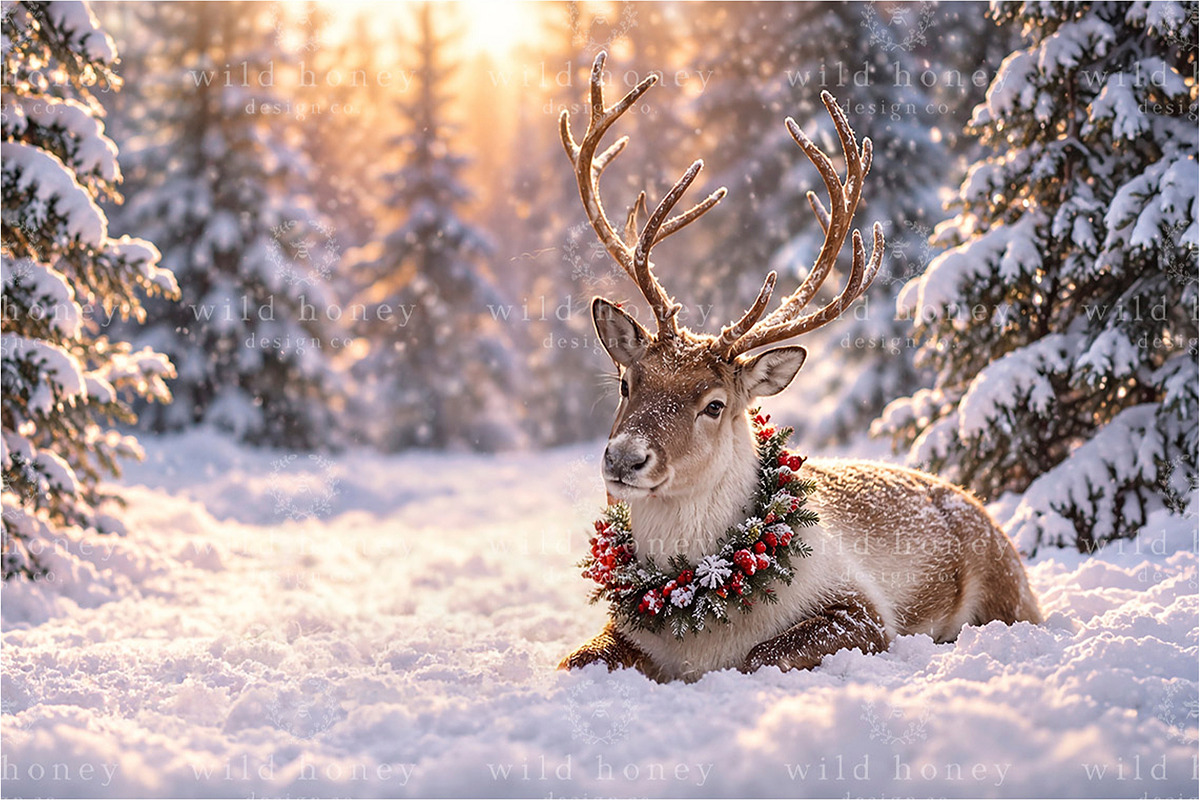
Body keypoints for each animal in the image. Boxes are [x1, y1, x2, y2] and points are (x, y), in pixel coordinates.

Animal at [557, 53, 1042, 683]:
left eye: (715, 404)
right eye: (625, 382)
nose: (623, 458)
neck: (697, 604)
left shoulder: (864, 614)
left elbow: (760, 655)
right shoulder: (624, 628)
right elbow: (573, 659)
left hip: (1005, 594)